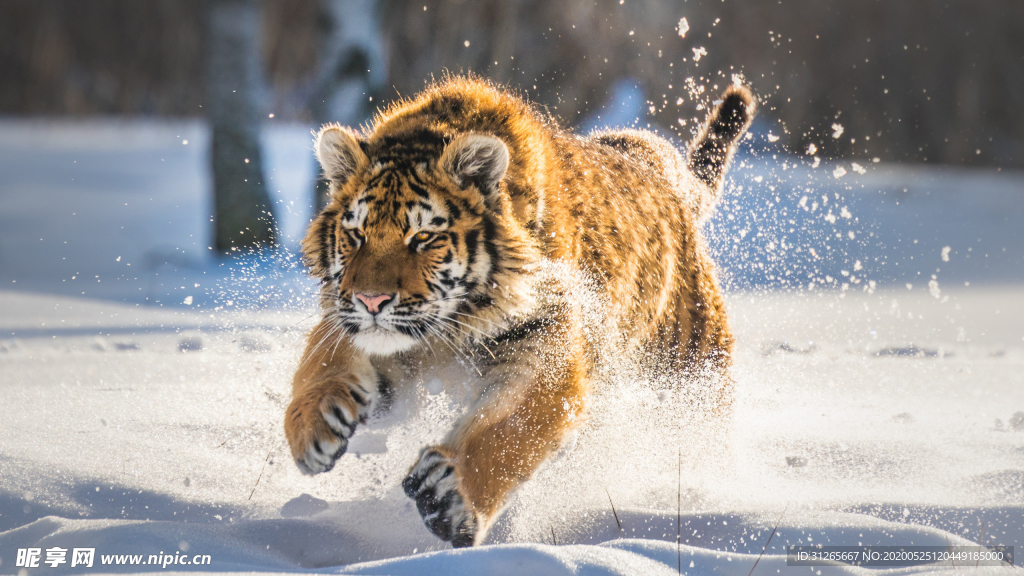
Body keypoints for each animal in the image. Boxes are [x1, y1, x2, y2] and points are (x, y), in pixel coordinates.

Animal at [284, 76, 755, 547]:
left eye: (422, 237)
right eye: (356, 234)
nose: (371, 301)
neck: (448, 329)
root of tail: (662, 170)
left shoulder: (545, 350)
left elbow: (508, 431)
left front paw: (449, 497)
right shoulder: (363, 327)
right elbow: (322, 358)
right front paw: (312, 427)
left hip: (691, 377)